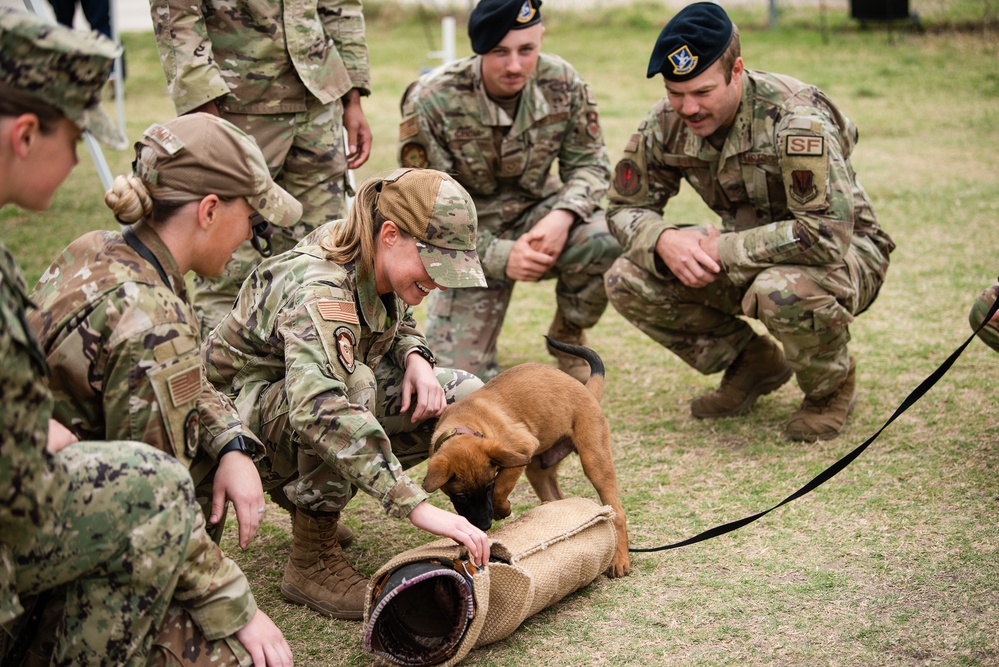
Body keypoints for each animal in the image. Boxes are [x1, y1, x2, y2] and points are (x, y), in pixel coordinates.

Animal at [424, 336, 628, 576]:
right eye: (462, 496)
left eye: (488, 486)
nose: (484, 526)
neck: (466, 423)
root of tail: (585, 389)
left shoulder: (521, 450)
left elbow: (502, 486)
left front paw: (503, 509)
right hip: (539, 471)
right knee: (557, 500)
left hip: (593, 460)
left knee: (618, 511)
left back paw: (620, 559)